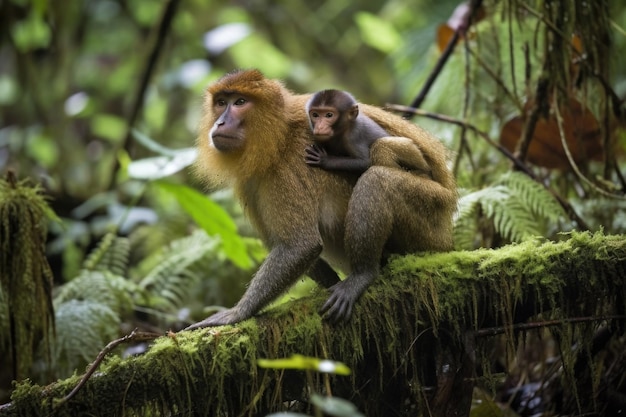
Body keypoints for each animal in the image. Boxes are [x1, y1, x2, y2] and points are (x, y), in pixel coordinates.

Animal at [185, 68, 454, 328]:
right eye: (221, 102)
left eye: (240, 102)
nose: (220, 122)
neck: (279, 134)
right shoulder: (251, 180)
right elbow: (284, 245)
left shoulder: (289, 163)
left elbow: (300, 246)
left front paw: (238, 313)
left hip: (431, 214)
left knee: (377, 176)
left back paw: (363, 274)